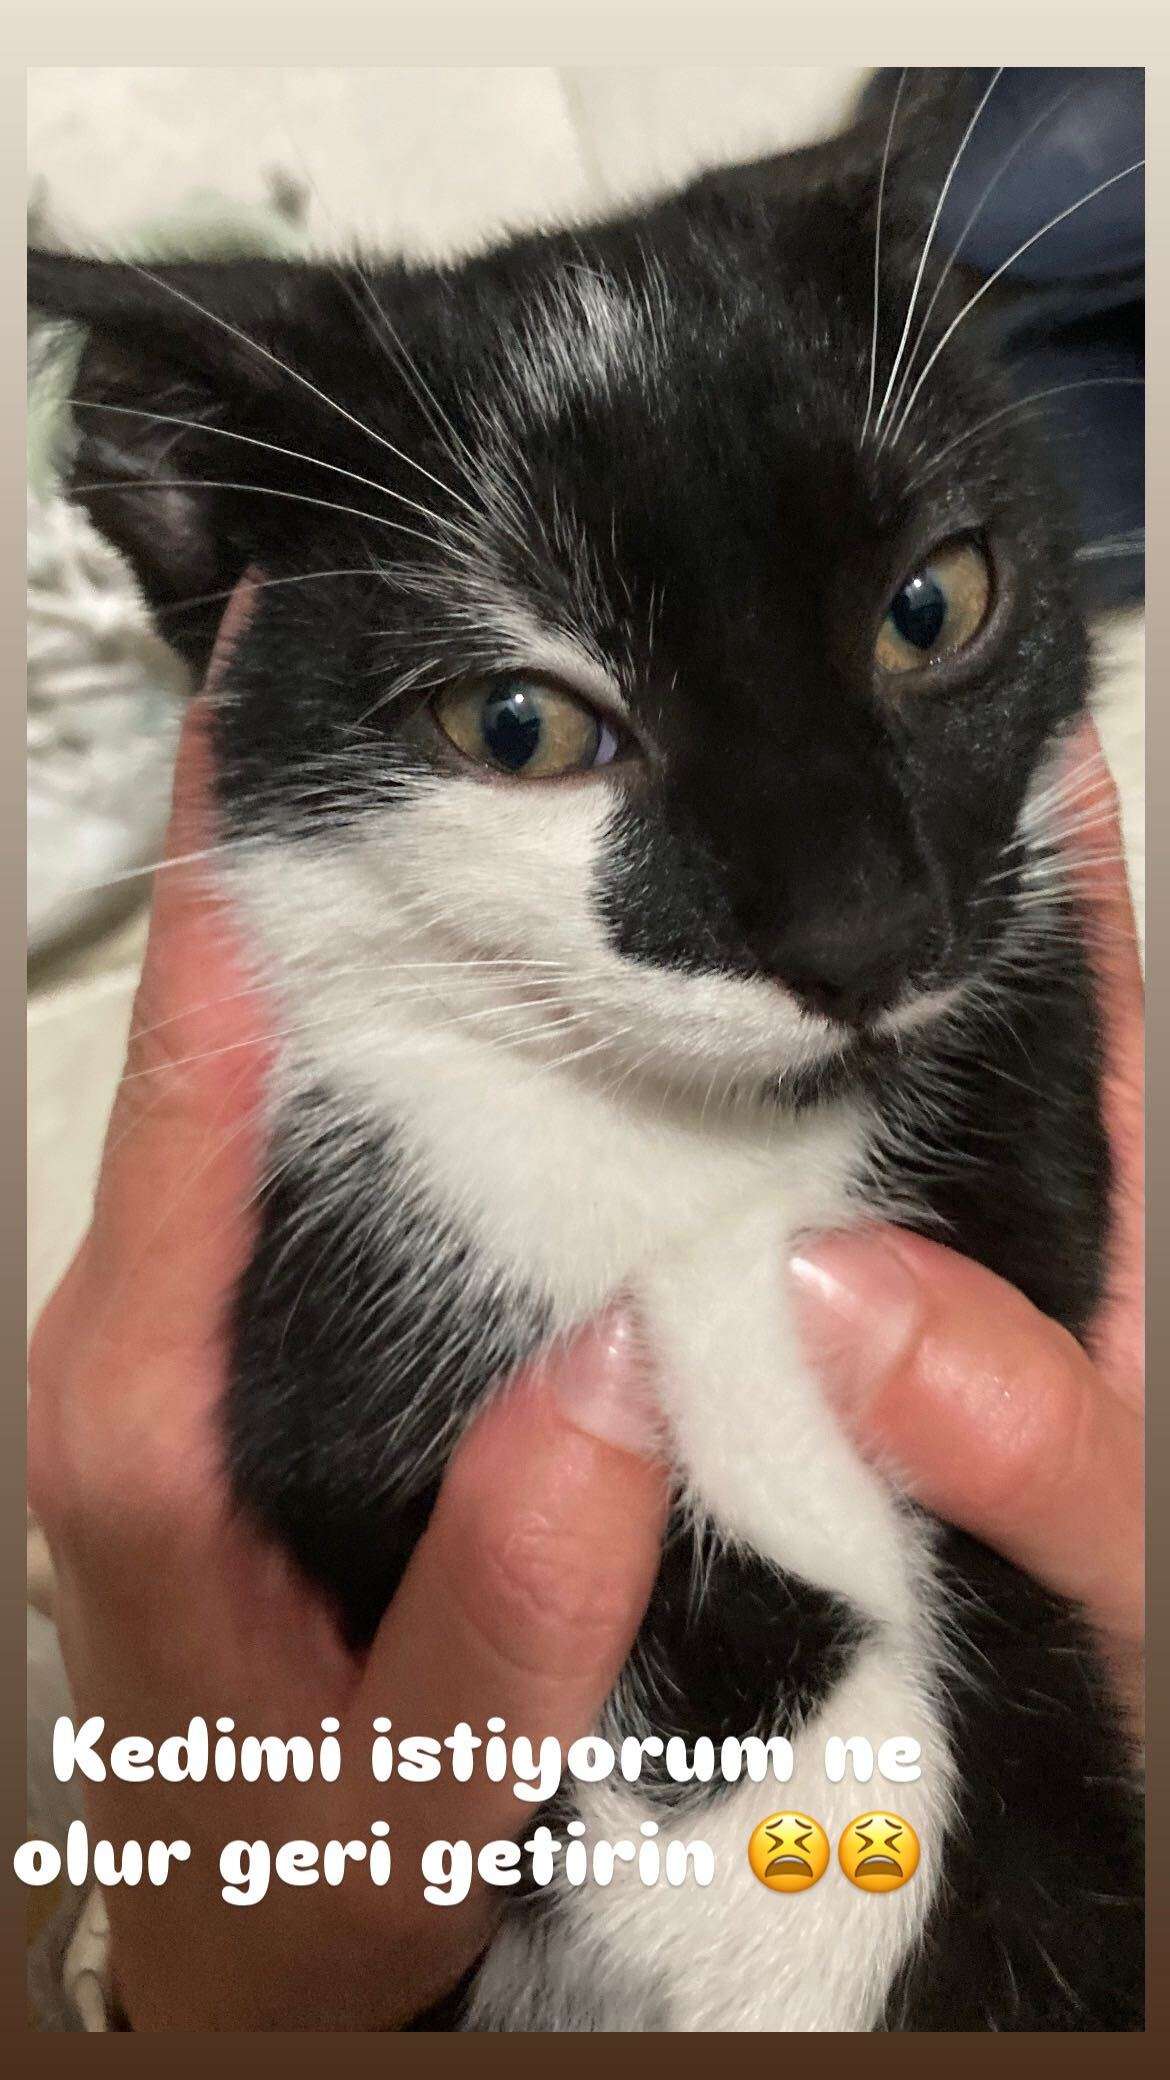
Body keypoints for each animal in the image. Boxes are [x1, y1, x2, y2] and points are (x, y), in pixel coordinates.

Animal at [29, 69, 1143, 2031]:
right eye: (520, 725)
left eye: (933, 605)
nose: (861, 934)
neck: (697, 1150)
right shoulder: (345, 1224)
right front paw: (765, 1868)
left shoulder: (1022, 1087)